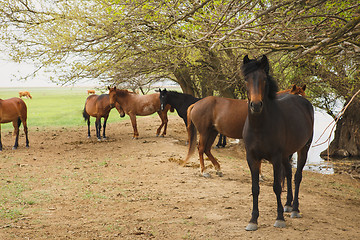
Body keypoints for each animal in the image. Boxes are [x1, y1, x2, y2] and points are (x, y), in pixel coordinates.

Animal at [242, 54, 316, 231]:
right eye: (246, 79)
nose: (256, 105)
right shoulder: (252, 158)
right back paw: (288, 204)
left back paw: (294, 208)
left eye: (263, 79)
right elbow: (255, 188)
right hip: (286, 154)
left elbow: (276, 186)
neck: (260, 126)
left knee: (297, 176)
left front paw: (280, 218)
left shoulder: (275, 158)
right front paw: (253, 220)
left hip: (303, 149)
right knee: (288, 173)